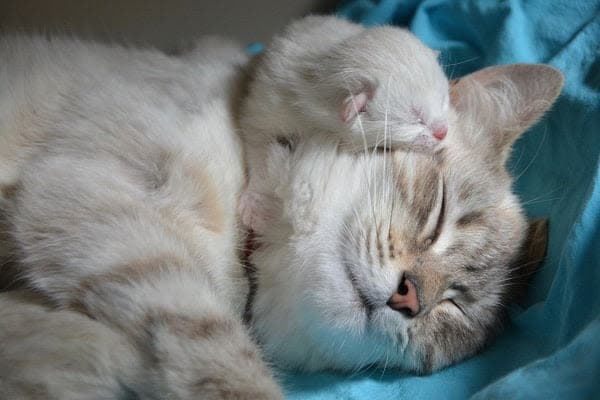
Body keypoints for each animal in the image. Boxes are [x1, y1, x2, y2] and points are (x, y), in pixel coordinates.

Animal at [239, 15, 450, 233]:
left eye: (443, 100)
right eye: (416, 118)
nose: (443, 132)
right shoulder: (266, 106)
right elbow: (259, 149)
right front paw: (257, 203)